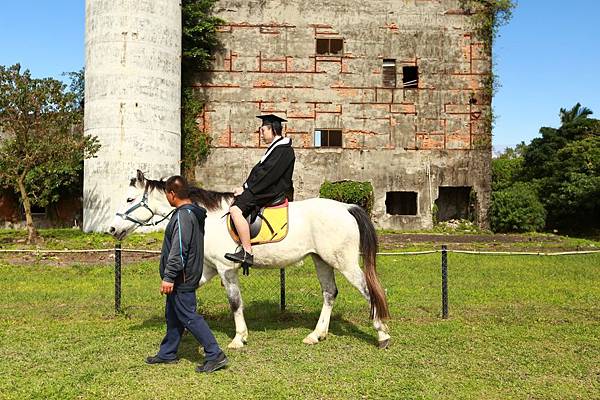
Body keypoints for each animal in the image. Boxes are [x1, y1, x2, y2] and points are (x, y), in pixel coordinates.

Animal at [108, 170, 392, 348]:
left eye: (130, 198)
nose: (111, 229)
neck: (208, 218)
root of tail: (347, 207)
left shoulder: (226, 270)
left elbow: (235, 303)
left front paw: (239, 338)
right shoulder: (209, 269)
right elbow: (183, 290)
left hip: (344, 263)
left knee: (369, 291)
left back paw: (382, 334)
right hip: (321, 261)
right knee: (330, 293)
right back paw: (316, 334)